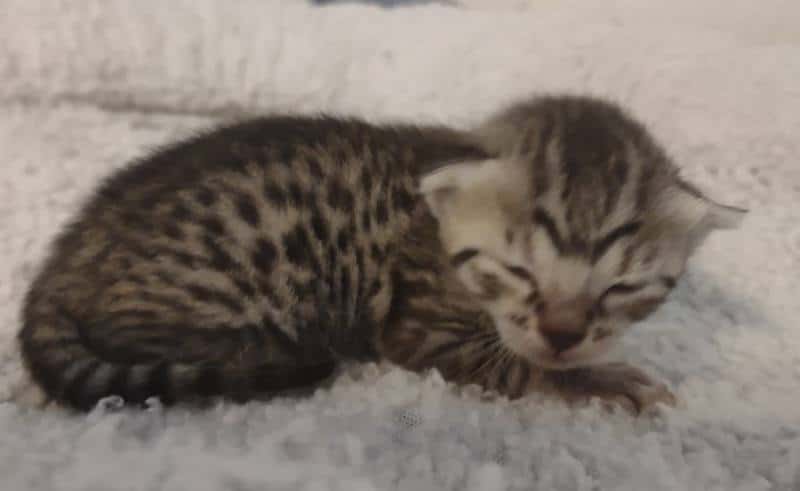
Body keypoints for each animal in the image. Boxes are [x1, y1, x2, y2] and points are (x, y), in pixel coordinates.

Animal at [16, 95, 744, 412]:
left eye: (620, 288)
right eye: (518, 271)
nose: (563, 336)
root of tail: (66, 256)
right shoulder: (419, 330)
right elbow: (514, 365)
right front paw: (599, 379)